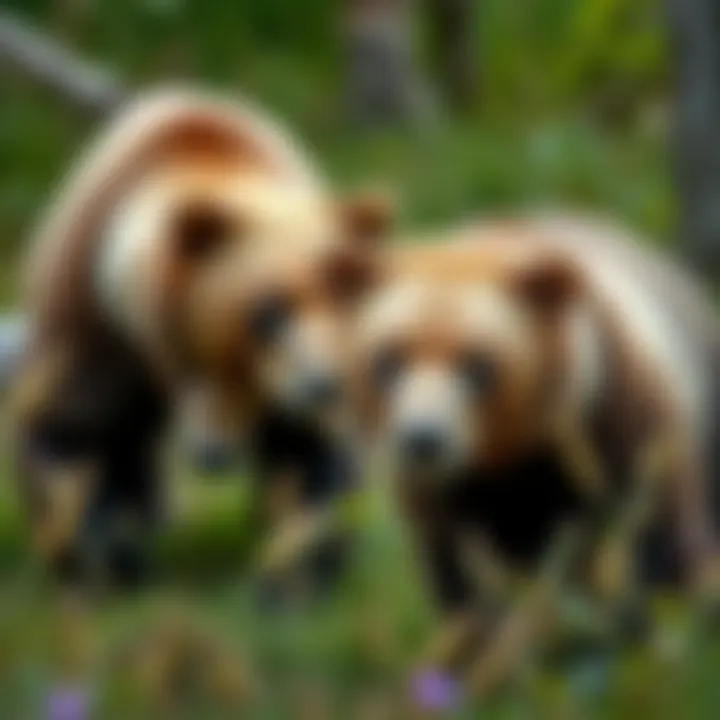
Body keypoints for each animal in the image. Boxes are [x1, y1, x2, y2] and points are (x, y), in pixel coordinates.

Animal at [12, 85, 339, 589]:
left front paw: (300, 567)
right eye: (262, 318)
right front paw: (98, 556)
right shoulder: (96, 317)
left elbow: (305, 450)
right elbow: (74, 430)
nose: (214, 455)